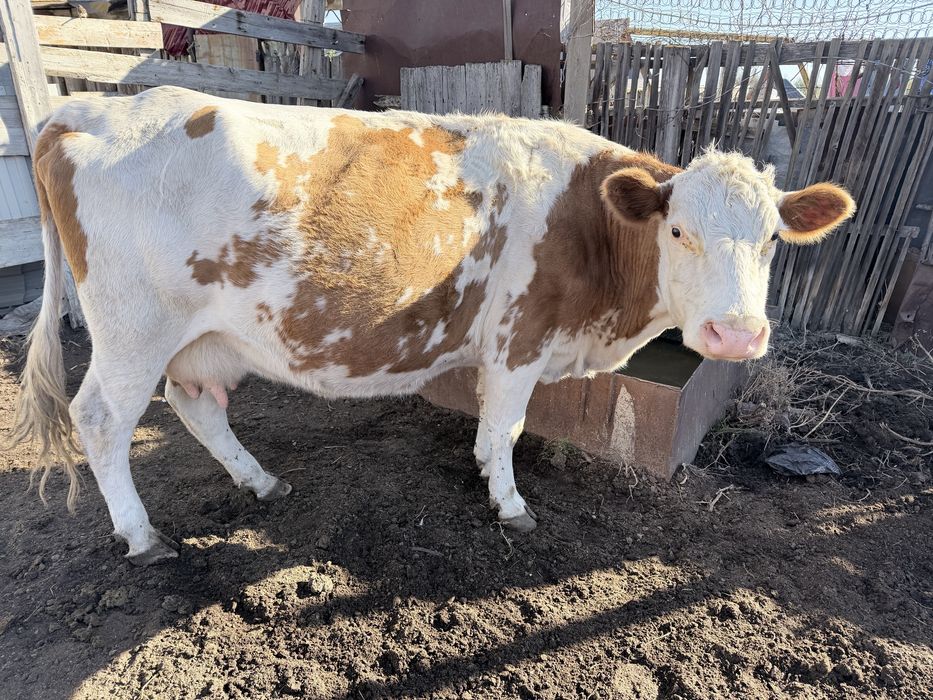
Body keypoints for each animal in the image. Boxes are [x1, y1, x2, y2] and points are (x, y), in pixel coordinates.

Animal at [7, 86, 854, 565]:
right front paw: (508, 504)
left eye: (772, 239)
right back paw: (142, 536)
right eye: (678, 231)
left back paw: (260, 481)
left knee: (193, 404)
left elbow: (491, 426)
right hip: (133, 327)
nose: (735, 336)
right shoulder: (518, 337)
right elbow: (504, 427)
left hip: (196, 336)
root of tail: (80, 109)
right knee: (102, 417)